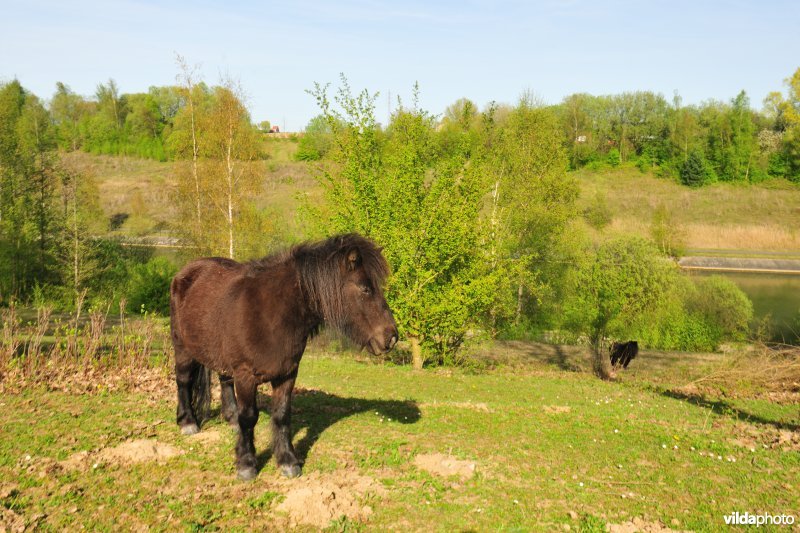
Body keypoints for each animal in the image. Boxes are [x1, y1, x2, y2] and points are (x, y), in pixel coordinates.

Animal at [169, 233, 396, 478]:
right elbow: (249, 417)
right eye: (365, 289)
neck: (271, 313)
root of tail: (186, 271)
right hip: (182, 348)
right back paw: (188, 422)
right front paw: (246, 464)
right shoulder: (246, 375)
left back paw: (230, 419)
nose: (392, 336)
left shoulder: (287, 374)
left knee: (224, 380)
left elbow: (282, 415)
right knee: (183, 381)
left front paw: (288, 461)